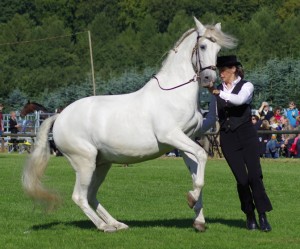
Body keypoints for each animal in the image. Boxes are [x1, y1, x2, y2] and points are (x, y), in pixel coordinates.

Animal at [22, 16, 236, 232]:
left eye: (218, 50)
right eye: (202, 46)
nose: (209, 79)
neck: (174, 93)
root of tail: (60, 116)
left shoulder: (186, 140)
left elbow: (196, 170)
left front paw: (198, 219)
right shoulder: (172, 136)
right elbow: (201, 156)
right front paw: (191, 199)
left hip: (102, 164)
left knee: (91, 195)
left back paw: (117, 223)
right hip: (84, 162)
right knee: (79, 196)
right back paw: (104, 226)